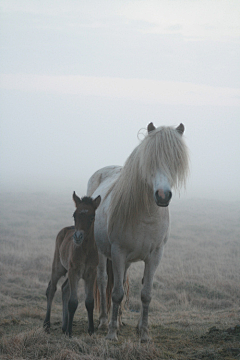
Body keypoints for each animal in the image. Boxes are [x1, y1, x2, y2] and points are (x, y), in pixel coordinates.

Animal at [43, 193, 101, 336]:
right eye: (74, 215)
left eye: (92, 217)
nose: (78, 237)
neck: (85, 251)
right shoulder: (74, 271)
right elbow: (73, 302)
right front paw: (69, 332)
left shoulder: (91, 273)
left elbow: (89, 301)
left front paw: (91, 330)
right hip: (59, 266)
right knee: (51, 289)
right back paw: (47, 324)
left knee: (64, 288)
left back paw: (64, 326)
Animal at [86, 123, 189, 340]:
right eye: (150, 161)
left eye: (175, 161)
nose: (163, 195)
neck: (146, 215)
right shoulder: (118, 252)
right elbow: (116, 293)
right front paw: (111, 334)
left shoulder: (155, 255)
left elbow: (145, 293)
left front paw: (143, 332)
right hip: (102, 252)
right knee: (103, 280)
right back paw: (104, 321)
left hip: (124, 261)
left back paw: (120, 321)